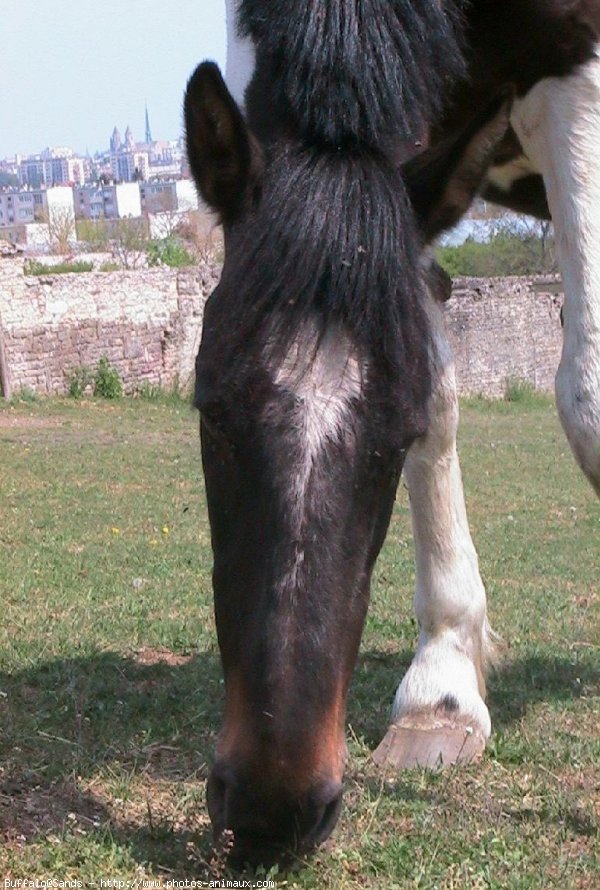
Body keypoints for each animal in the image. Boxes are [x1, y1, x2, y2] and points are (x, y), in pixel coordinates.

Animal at [184, 0, 600, 860]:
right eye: (210, 409)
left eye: (389, 437)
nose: (273, 805)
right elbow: (441, 390)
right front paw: (442, 689)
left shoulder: (578, 75)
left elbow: (589, 399)